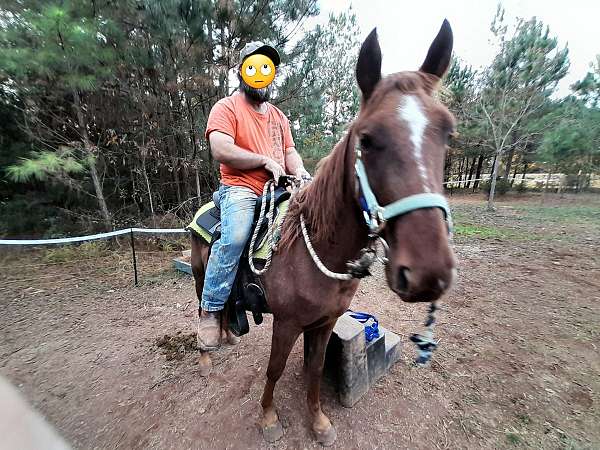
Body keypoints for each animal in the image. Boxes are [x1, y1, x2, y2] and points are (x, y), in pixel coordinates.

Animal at [190, 20, 458, 446]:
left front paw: (318, 422)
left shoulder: (326, 321)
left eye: (448, 133)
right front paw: (269, 417)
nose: (428, 271)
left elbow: (314, 371)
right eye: (366, 138)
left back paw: (229, 335)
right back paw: (206, 352)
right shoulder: (287, 324)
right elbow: (275, 369)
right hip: (201, 275)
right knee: (203, 306)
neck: (313, 248)